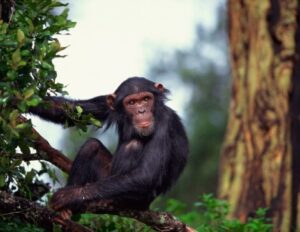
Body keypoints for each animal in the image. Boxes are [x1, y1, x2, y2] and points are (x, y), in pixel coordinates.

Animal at [29, 77, 188, 215]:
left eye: (146, 99)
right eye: (131, 103)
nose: (141, 111)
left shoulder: (165, 122)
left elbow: (146, 174)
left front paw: (69, 196)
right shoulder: (107, 103)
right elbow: (71, 111)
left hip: (138, 199)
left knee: (134, 145)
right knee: (91, 146)